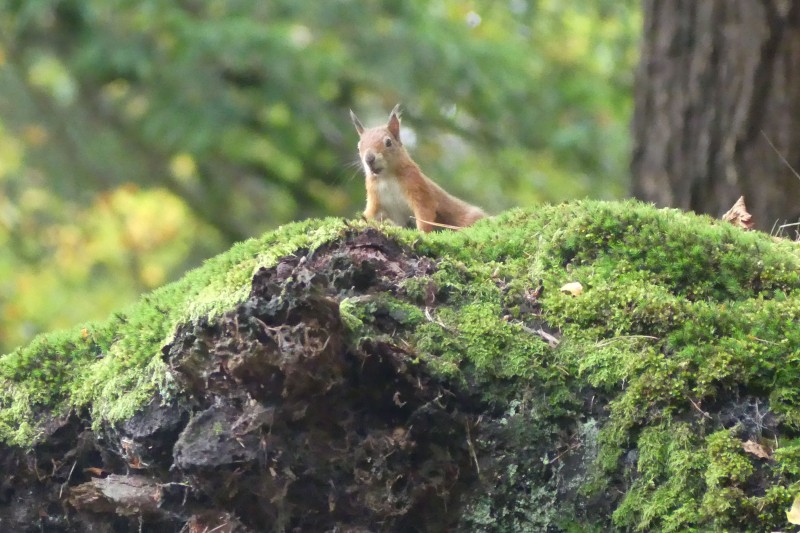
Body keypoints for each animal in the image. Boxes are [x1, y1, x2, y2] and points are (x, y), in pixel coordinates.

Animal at [352, 105, 488, 232]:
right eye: (358, 147)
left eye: (388, 142)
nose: (369, 159)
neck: (386, 177)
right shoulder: (375, 199)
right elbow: (369, 215)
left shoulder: (417, 186)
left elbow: (424, 213)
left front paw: (421, 233)